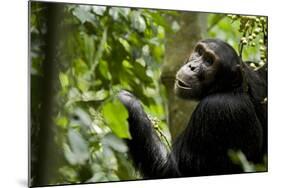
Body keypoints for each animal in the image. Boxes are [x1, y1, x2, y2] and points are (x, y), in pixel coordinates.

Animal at [117, 38, 266, 178]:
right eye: (199, 52)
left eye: (209, 62)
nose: (192, 66)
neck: (232, 88)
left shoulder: (217, 107)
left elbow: (172, 171)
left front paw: (127, 101)